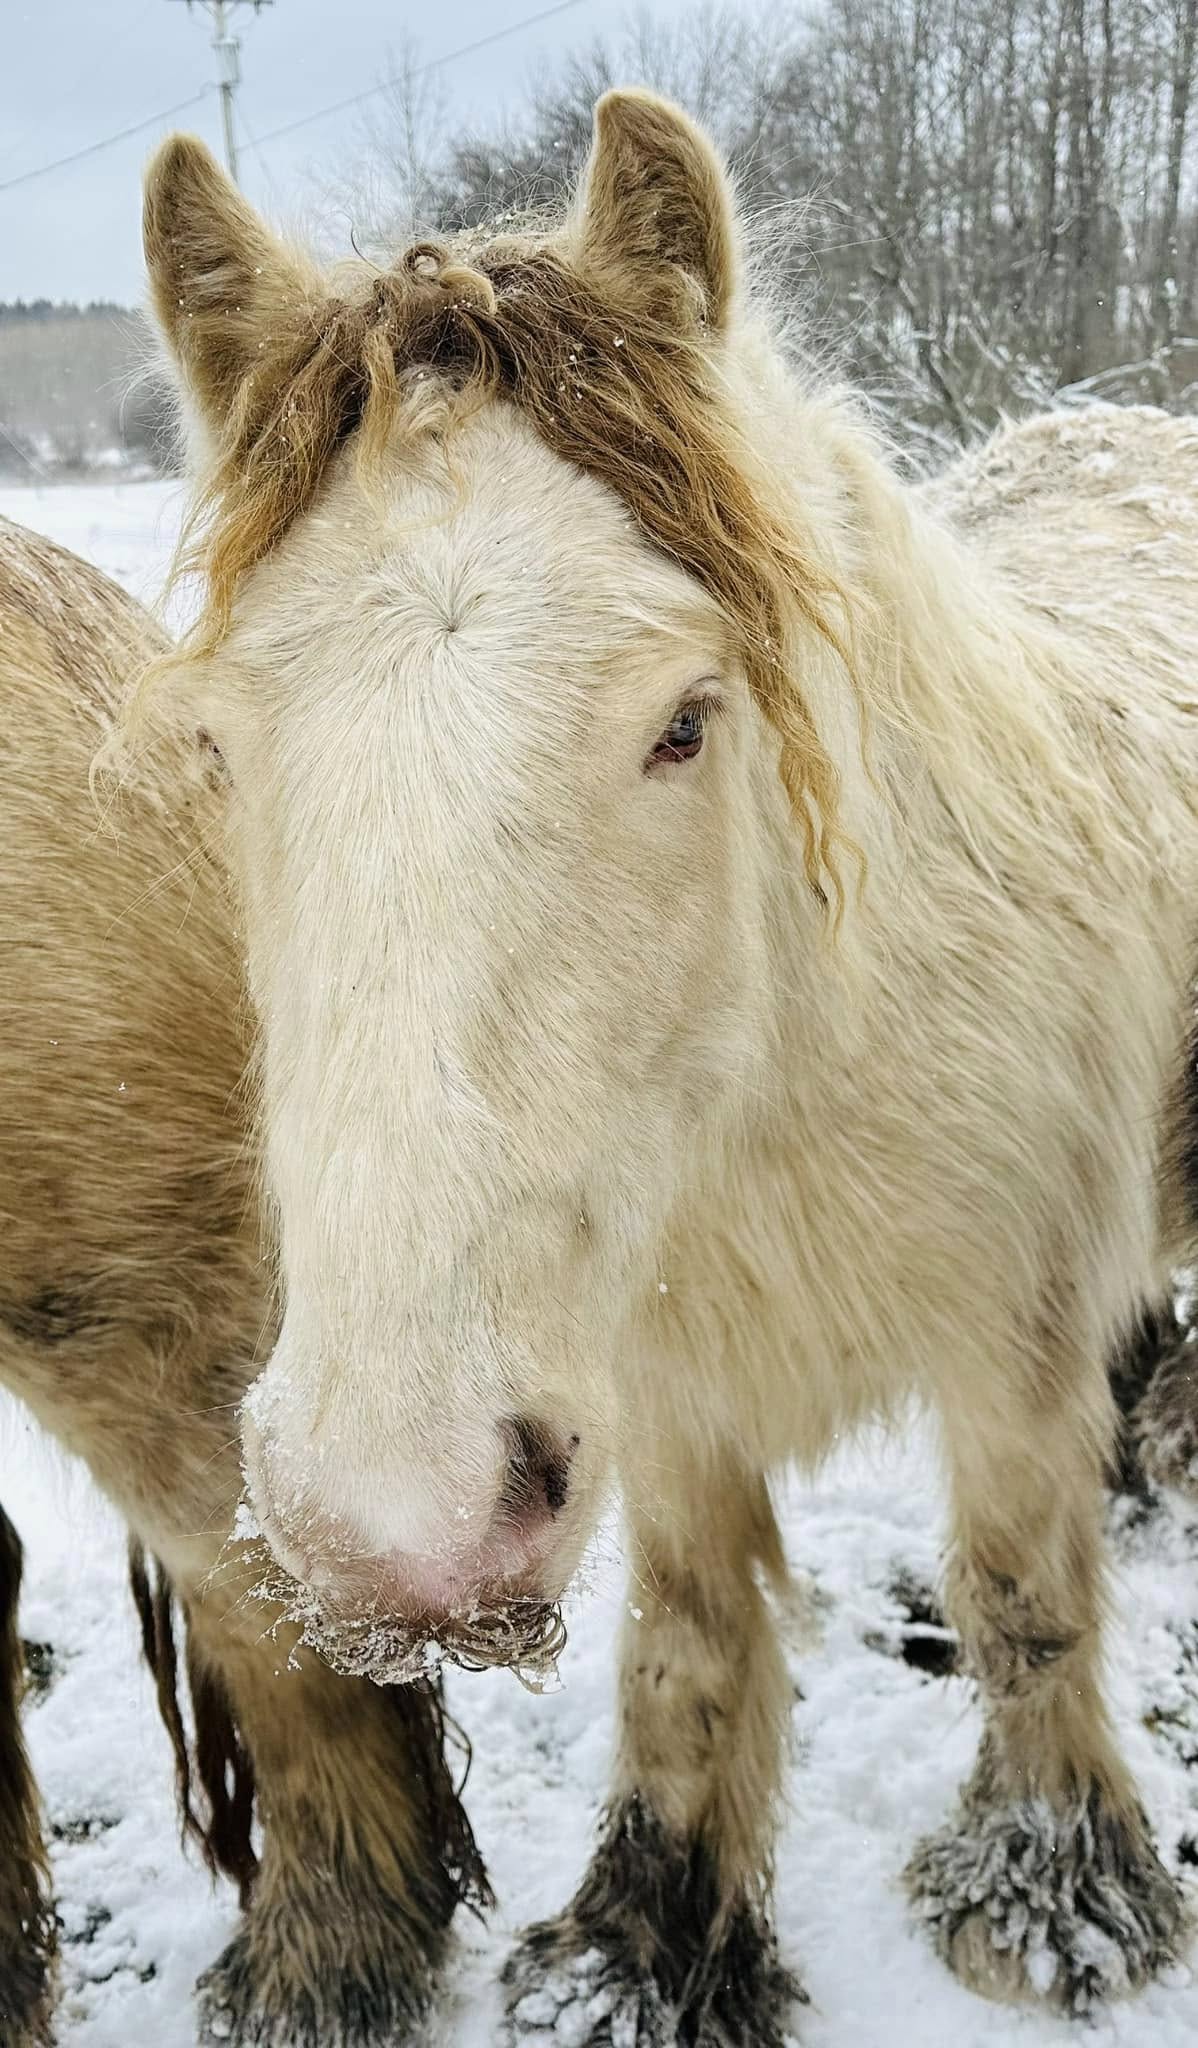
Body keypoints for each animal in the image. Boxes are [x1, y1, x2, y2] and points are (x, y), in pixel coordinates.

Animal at [131, 86, 1198, 2042]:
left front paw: (1051, 1893)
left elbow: (1018, 1589)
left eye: (682, 723)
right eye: (222, 749)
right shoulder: (660, 1376)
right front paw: (645, 1945)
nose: (383, 1523)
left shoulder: (1006, 1349)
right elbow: (691, 1643)